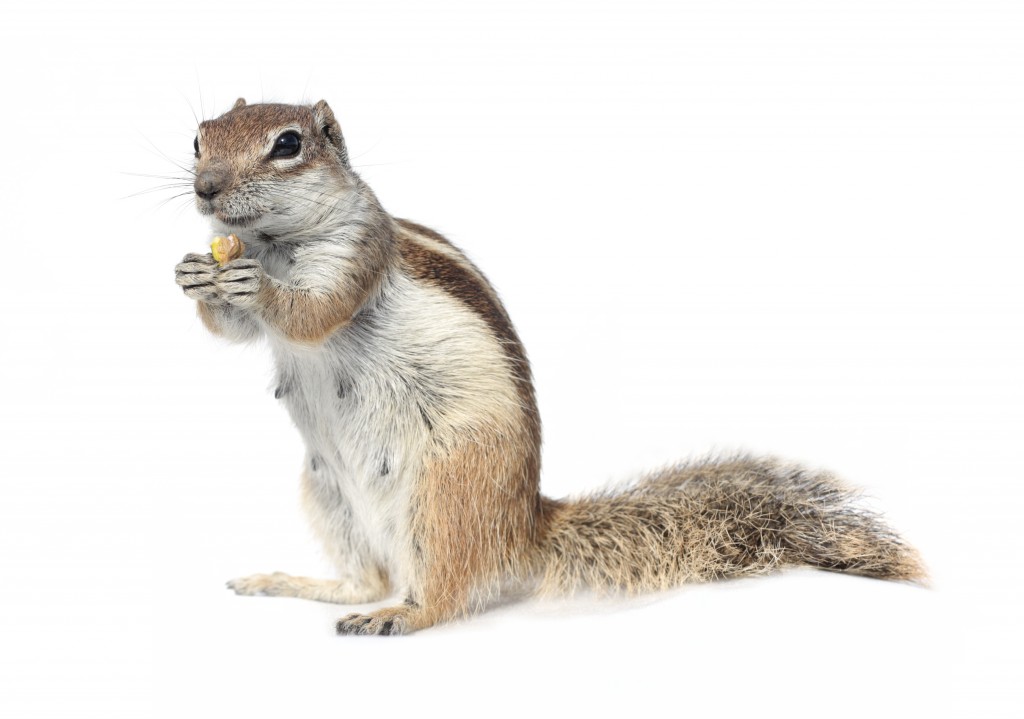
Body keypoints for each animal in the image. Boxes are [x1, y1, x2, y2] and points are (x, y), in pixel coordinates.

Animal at [174, 97, 929, 635]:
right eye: (199, 138)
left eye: (288, 144)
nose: (205, 189)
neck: (270, 244)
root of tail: (524, 529)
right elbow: (231, 331)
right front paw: (193, 276)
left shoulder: (358, 254)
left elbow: (314, 312)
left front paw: (259, 289)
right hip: (326, 492)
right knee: (369, 576)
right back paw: (296, 583)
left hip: (447, 489)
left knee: (440, 592)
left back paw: (398, 615)